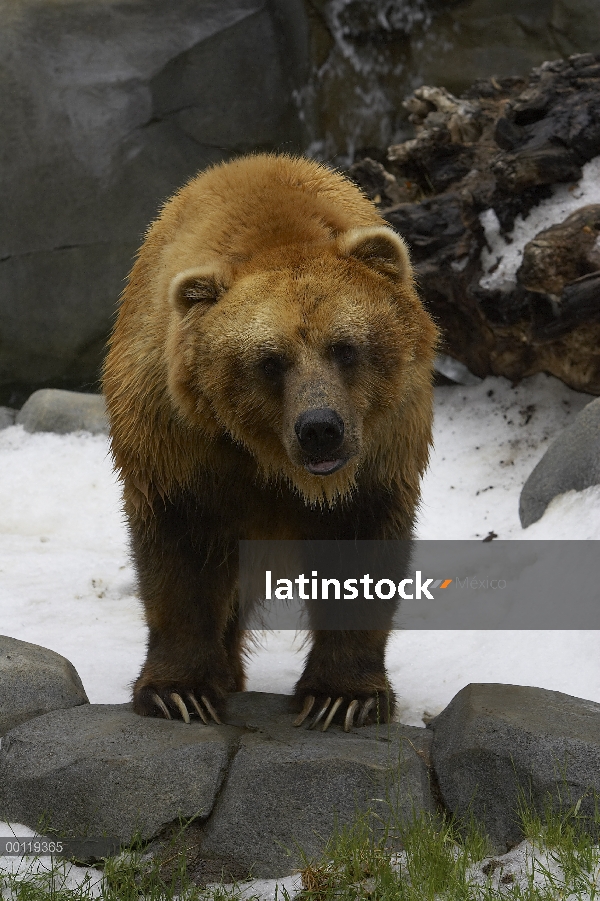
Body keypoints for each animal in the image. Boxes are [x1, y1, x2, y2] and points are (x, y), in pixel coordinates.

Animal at [103, 153, 438, 732]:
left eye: (345, 346)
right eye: (270, 360)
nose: (320, 427)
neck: (269, 462)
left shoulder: (381, 454)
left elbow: (362, 556)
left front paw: (343, 698)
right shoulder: (180, 443)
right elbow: (180, 558)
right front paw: (179, 692)